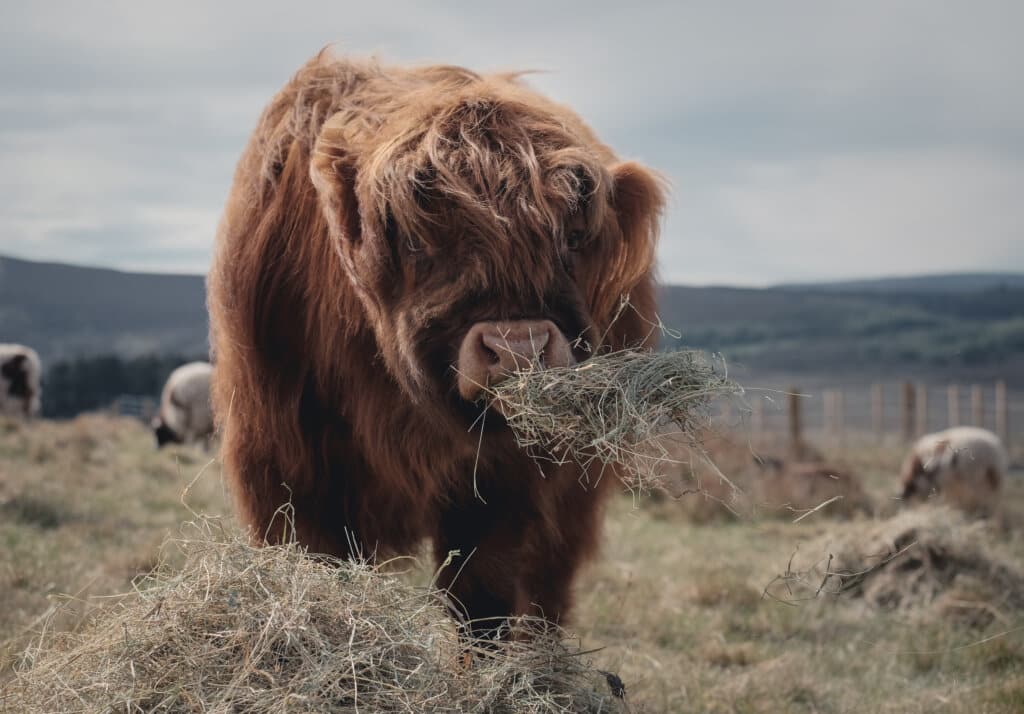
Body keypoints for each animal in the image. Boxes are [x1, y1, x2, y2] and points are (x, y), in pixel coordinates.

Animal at [206, 51, 664, 638]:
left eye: (573, 239)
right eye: (415, 239)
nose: (517, 347)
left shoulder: (503, 481)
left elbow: (482, 599)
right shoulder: (289, 465)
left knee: (550, 583)